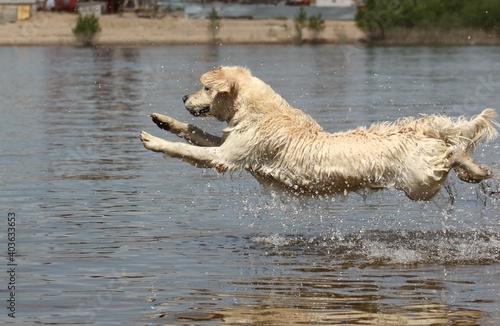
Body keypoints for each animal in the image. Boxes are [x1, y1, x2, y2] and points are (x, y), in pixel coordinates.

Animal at [139, 65, 498, 200]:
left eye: (205, 87)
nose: (183, 97)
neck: (260, 112)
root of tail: (418, 129)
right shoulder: (227, 143)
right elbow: (193, 131)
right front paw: (163, 121)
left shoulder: (225, 158)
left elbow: (187, 150)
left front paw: (154, 141)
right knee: (454, 149)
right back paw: (479, 170)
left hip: (419, 182)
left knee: (453, 151)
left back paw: (475, 168)